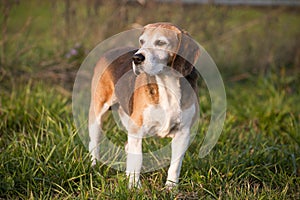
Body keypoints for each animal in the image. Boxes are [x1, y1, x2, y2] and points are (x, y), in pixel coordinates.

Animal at [89, 22, 202, 188]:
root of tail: (111, 51)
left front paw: (171, 187)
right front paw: (134, 187)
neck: (167, 84)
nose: (136, 58)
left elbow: (175, 165)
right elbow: (137, 160)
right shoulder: (137, 129)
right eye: (142, 41)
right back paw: (94, 166)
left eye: (160, 43)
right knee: (94, 143)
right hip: (97, 114)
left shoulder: (183, 133)